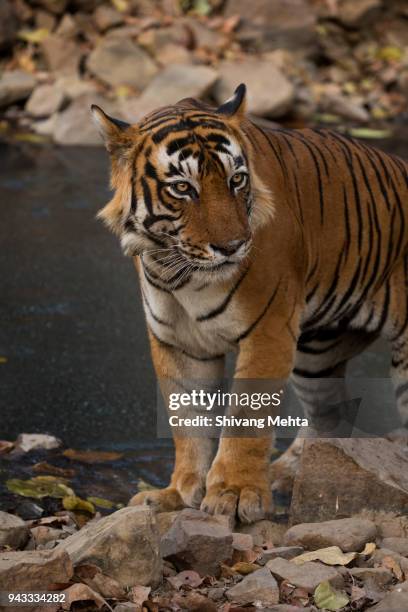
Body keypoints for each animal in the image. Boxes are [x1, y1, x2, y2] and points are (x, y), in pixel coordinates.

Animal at [92, 85, 408, 524]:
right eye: (182, 188)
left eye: (236, 179)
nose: (232, 246)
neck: (179, 273)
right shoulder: (178, 342)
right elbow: (187, 423)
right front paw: (179, 493)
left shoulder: (269, 331)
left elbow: (246, 418)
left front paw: (235, 492)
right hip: (316, 355)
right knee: (331, 413)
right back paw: (290, 475)